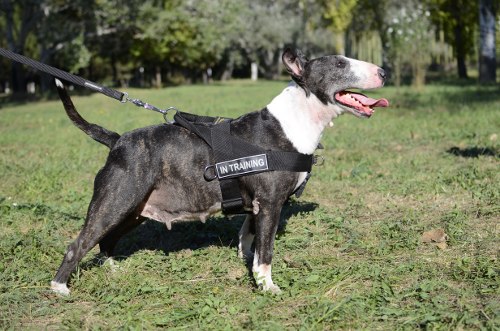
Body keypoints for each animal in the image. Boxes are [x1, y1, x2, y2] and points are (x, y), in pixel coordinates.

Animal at [49, 48, 386, 296]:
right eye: (340, 63)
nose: (383, 72)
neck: (295, 120)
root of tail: (117, 140)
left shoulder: (257, 204)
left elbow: (248, 236)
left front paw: (248, 267)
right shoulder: (271, 203)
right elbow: (267, 250)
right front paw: (268, 287)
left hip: (132, 209)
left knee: (106, 239)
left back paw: (112, 269)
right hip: (115, 201)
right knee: (79, 243)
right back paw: (59, 288)